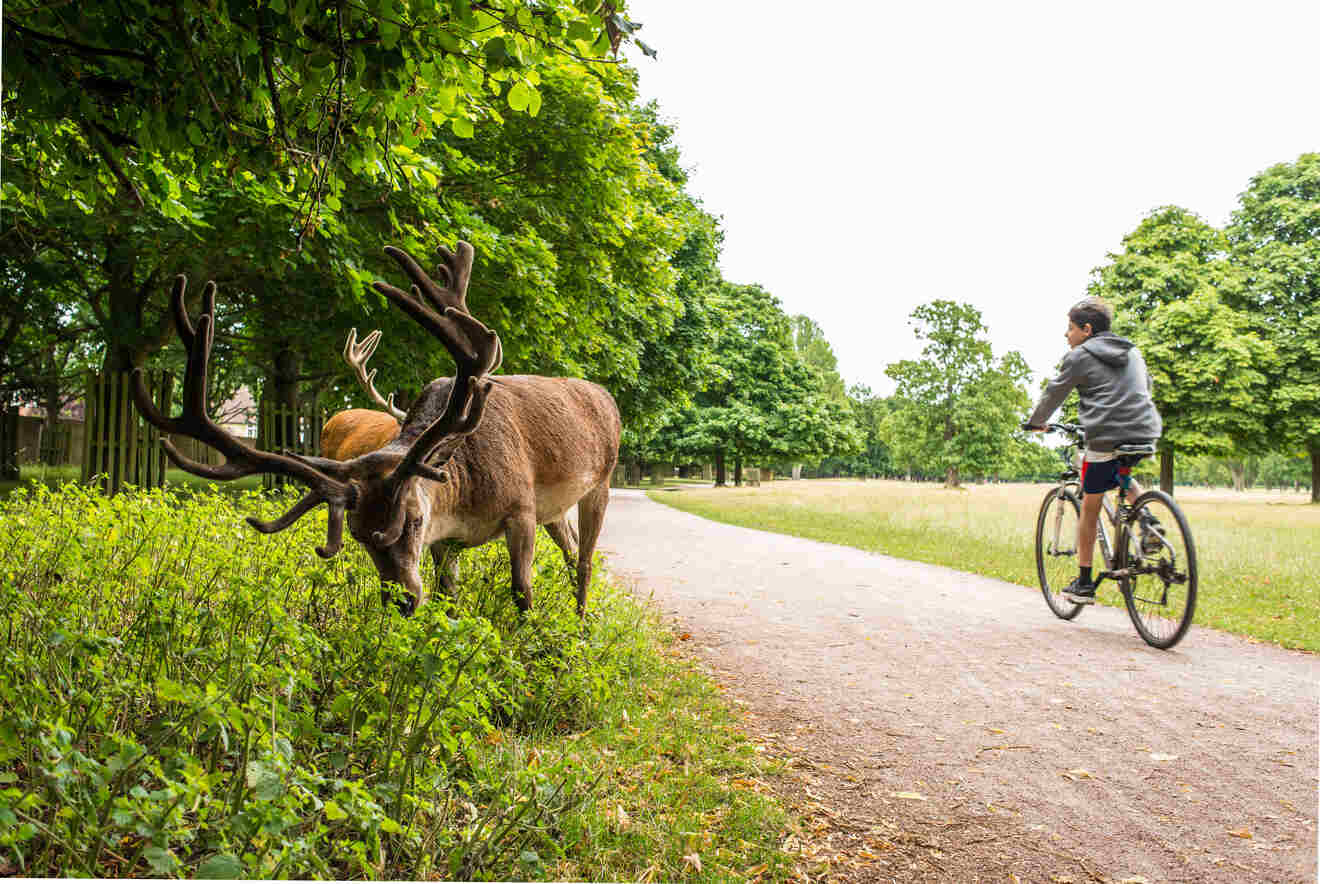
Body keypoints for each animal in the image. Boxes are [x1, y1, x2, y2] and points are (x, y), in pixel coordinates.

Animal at [133, 238, 623, 620]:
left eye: (413, 520)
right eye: (356, 534)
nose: (401, 601)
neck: (461, 490)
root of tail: (605, 395)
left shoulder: (520, 509)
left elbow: (522, 594)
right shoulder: (449, 541)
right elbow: (447, 599)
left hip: (600, 481)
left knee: (585, 560)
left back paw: (580, 624)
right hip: (555, 510)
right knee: (570, 548)